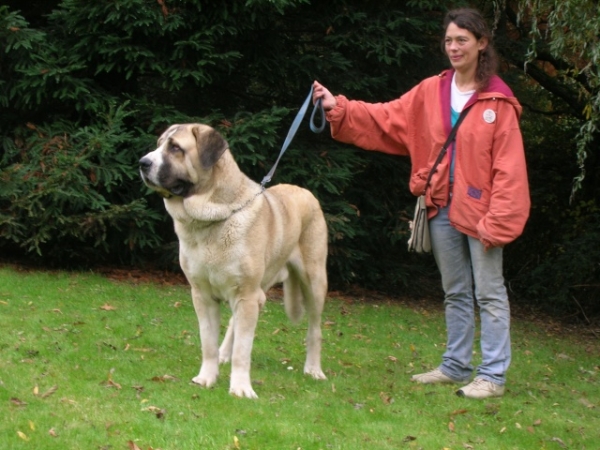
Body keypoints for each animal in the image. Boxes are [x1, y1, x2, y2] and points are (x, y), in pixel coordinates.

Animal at [139, 122, 328, 398]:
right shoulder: (202, 295)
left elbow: (243, 350)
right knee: (234, 324)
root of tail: (305, 191)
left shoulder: (246, 295)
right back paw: (222, 355)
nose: (143, 162)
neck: (211, 219)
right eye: (159, 144)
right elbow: (208, 342)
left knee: (315, 329)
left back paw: (314, 369)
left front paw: (240, 388)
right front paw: (206, 377)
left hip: (313, 282)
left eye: (175, 148)